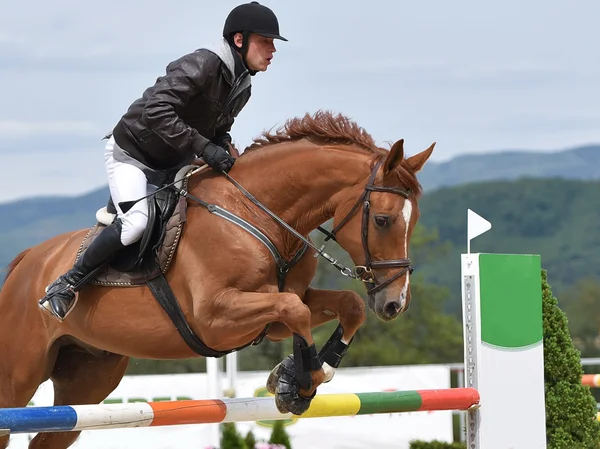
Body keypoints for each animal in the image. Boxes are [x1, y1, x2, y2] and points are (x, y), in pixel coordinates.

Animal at [0, 110, 434, 446]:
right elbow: (294, 309)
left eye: (414, 221)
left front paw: (298, 374)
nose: (395, 303)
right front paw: (297, 383)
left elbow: (345, 306)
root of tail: (24, 263)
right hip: (19, 376)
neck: (259, 213)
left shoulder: (273, 319)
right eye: (383, 220)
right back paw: (60, 292)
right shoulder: (214, 318)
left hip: (88, 379)